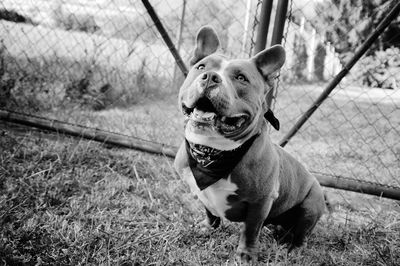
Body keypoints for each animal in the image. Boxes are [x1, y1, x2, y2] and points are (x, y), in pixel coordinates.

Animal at [173, 25, 326, 262]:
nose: (210, 77)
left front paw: (245, 254)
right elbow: (209, 210)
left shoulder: (260, 203)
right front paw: (208, 227)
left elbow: (250, 230)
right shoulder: (200, 189)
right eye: (201, 67)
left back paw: (293, 248)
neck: (212, 151)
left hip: (312, 204)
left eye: (241, 78)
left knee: (302, 234)